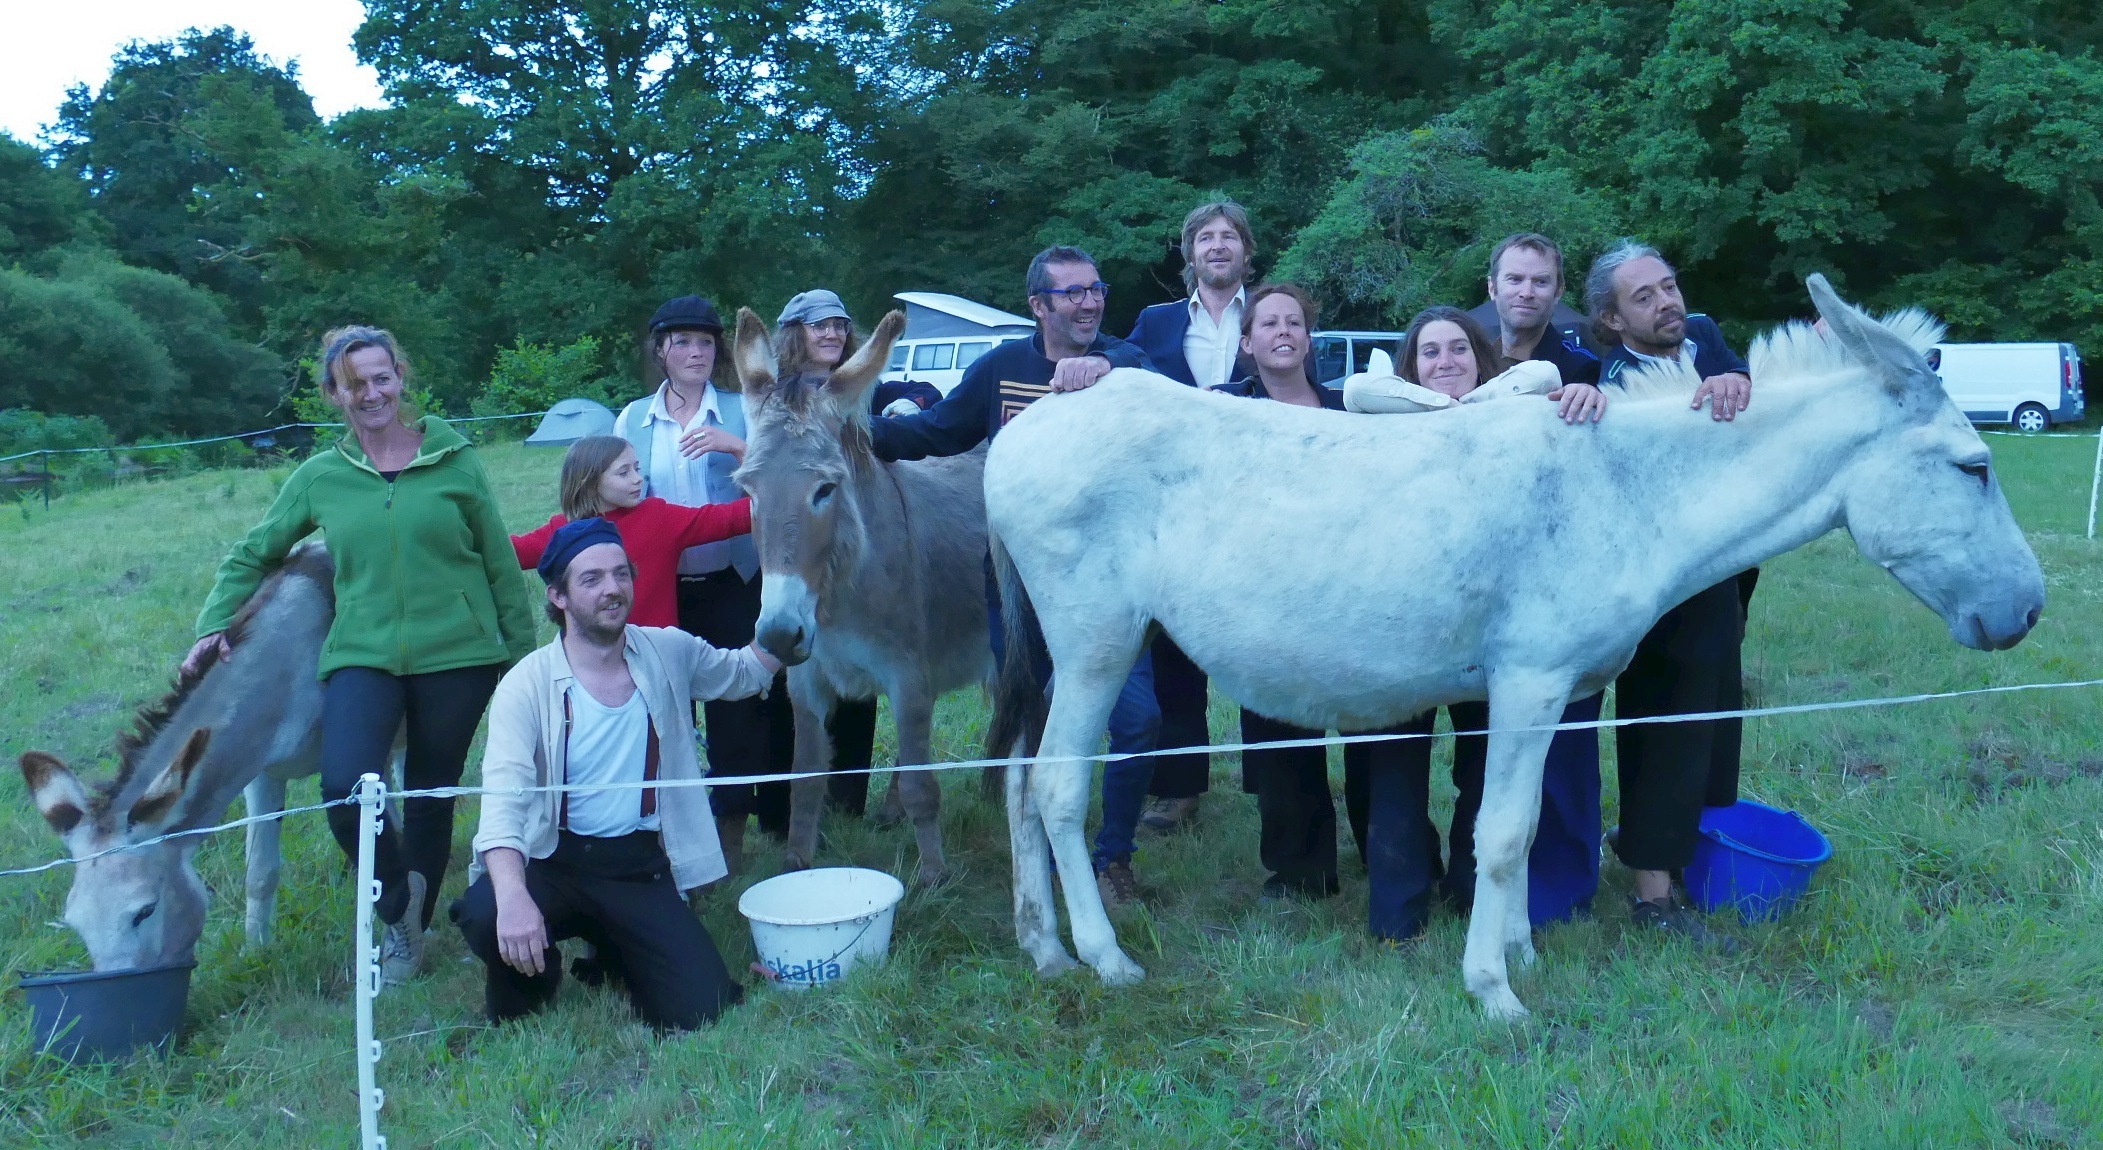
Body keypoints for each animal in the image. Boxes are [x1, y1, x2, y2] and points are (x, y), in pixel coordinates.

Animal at [18, 543, 335, 970]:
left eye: (145, 911)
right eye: (74, 923)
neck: (293, 664)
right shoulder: (261, 771)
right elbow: (260, 871)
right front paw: (257, 954)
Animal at [729, 307, 995, 885]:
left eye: (825, 490)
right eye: (748, 492)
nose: (778, 635)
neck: (839, 603)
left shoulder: (908, 678)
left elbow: (922, 784)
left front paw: (935, 877)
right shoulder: (806, 682)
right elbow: (805, 779)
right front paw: (796, 864)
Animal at [982, 275, 2045, 1018]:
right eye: (1974, 467)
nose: (2028, 613)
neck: (1631, 492)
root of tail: (1020, 433)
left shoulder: (1554, 696)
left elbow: (1529, 827)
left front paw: (1524, 949)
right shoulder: (1528, 684)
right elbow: (1496, 833)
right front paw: (1493, 991)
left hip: (1052, 656)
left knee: (1015, 781)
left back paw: (1041, 949)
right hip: (1098, 643)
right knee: (1059, 787)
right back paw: (1105, 959)